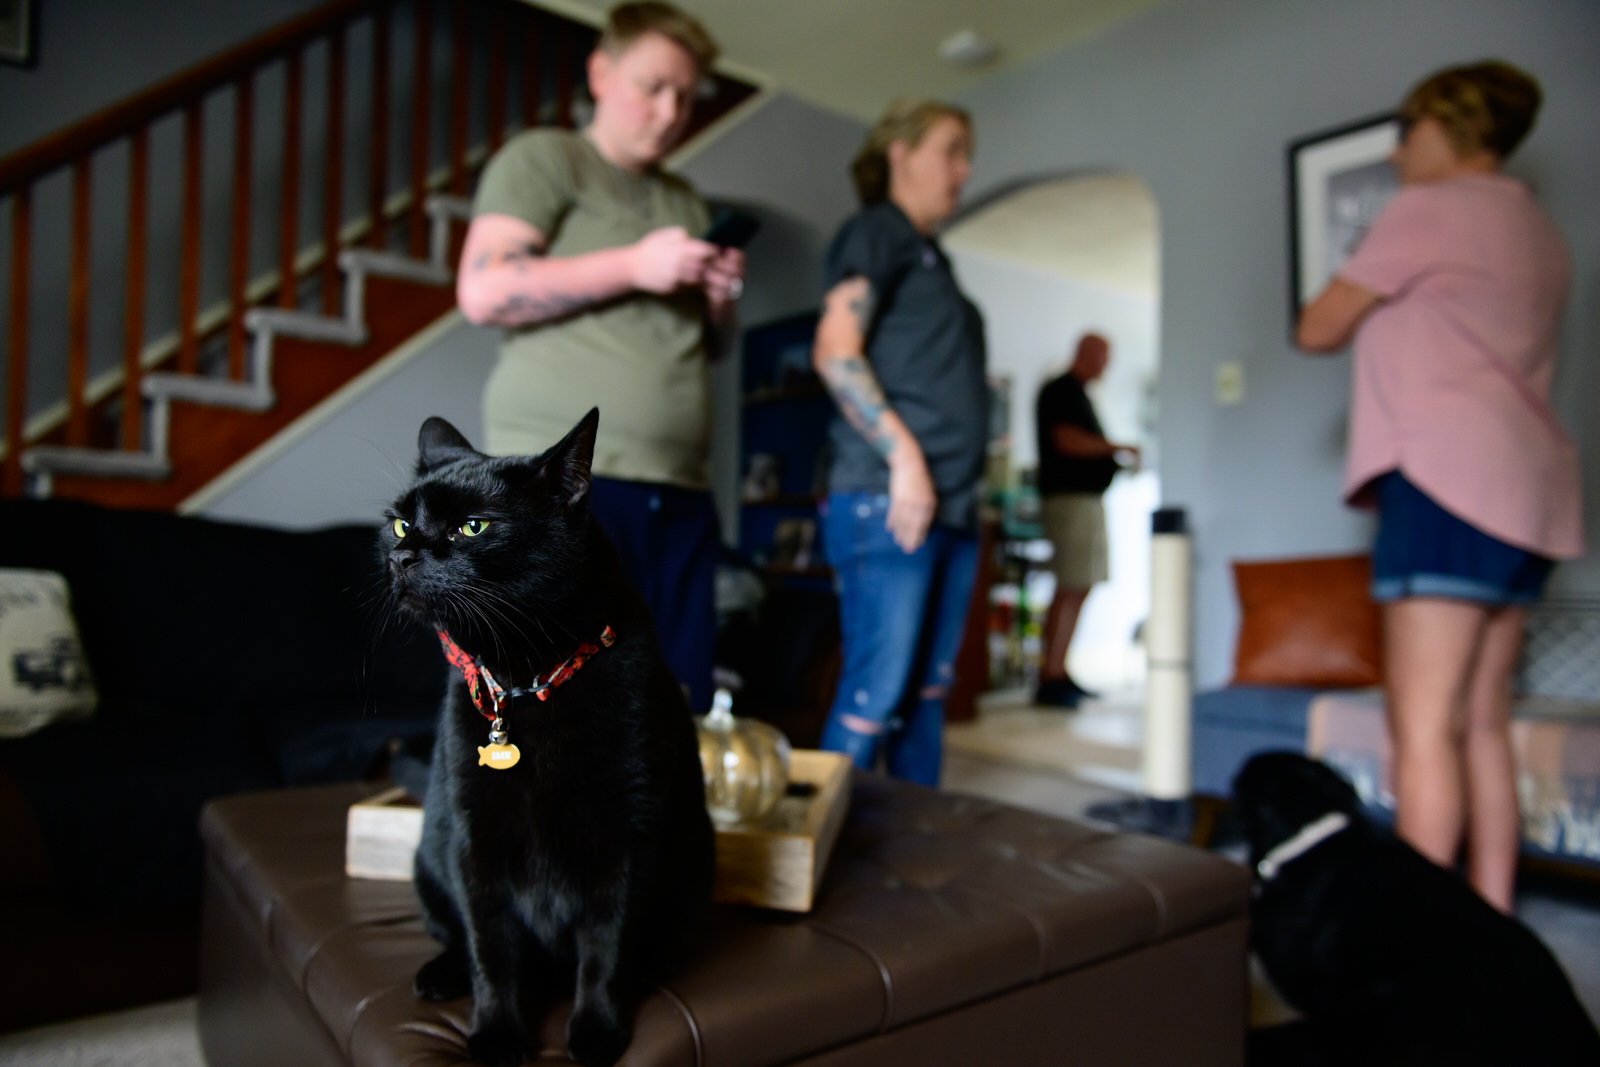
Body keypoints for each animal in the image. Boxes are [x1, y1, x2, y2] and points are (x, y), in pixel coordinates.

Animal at [380, 409, 713, 1067]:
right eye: (402, 522)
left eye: (472, 527)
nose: (403, 554)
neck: (525, 680)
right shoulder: (473, 842)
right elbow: (491, 951)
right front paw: (497, 1036)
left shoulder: (625, 837)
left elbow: (605, 950)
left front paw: (597, 1032)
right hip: (429, 858)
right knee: (454, 934)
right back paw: (440, 974)